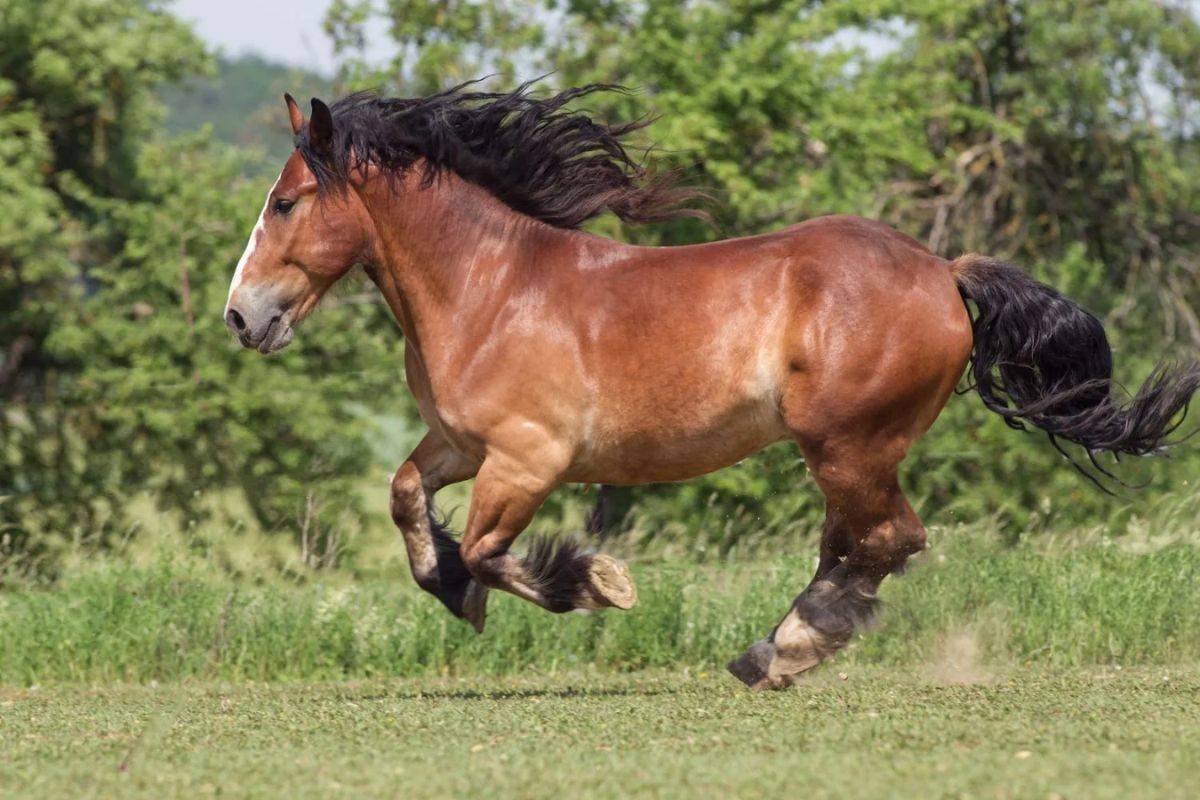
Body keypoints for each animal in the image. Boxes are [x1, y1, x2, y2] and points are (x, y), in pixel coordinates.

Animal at [220, 82, 1195, 690]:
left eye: (286, 203)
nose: (240, 318)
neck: (490, 288)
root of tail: (942, 271)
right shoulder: (461, 446)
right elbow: (404, 498)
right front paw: (451, 585)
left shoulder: (529, 459)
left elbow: (496, 551)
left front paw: (597, 583)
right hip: (844, 453)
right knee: (857, 545)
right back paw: (778, 647)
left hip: (848, 444)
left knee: (888, 540)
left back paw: (786, 650)